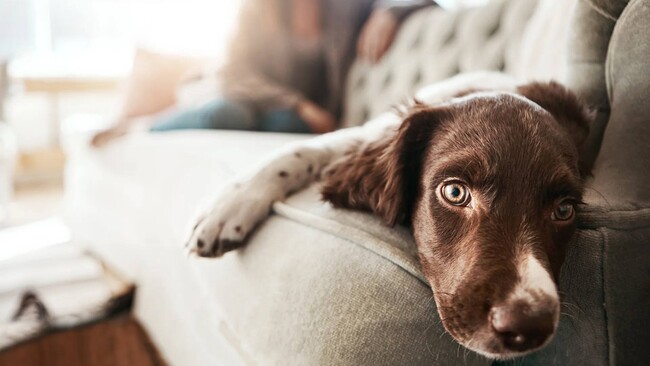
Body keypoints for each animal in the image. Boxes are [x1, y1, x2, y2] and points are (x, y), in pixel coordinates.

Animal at [185, 73, 588, 358]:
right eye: (455, 192)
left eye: (564, 209)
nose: (527, 324)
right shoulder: (367, 134)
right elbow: (302, 150)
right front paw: (228, 206)